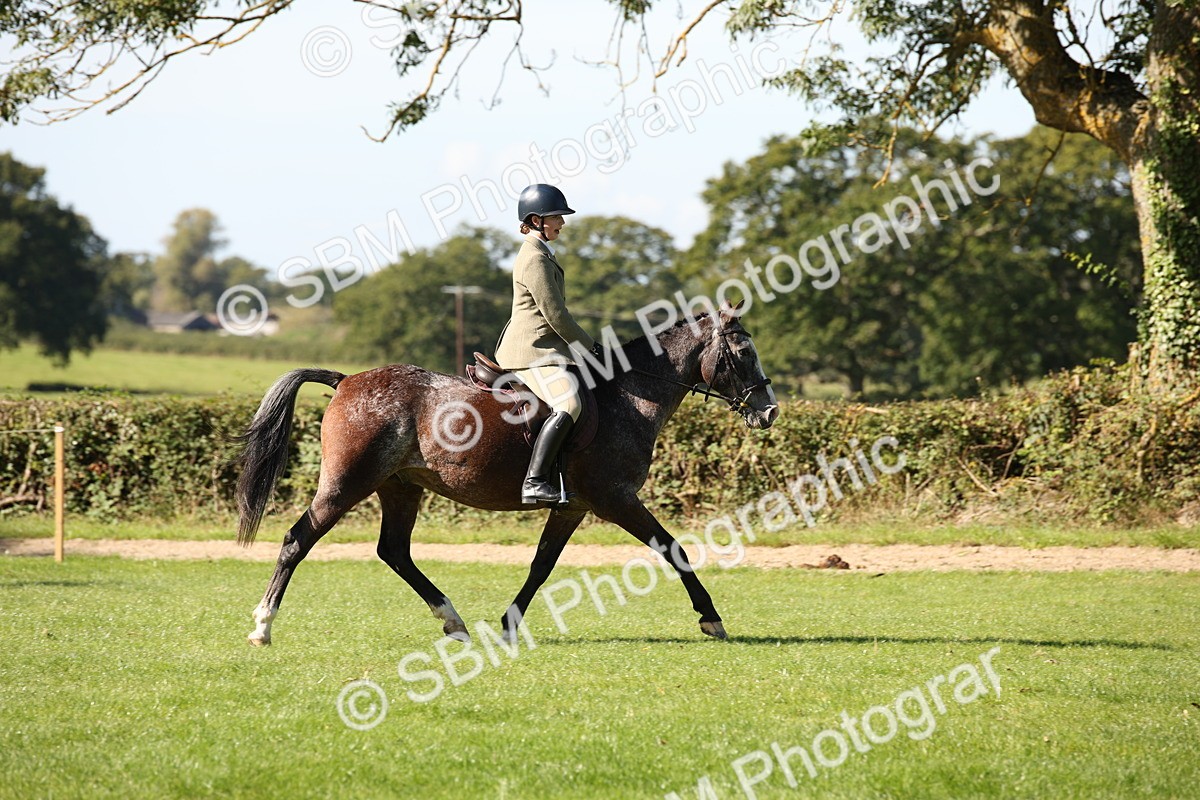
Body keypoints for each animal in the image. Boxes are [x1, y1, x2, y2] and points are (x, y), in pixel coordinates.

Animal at [234, 300, 778, 646]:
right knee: (298, 540)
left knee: (394, 552)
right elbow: (674, 549)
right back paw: (262, 626)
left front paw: (509, 624)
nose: (770, 411)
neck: (629, 396)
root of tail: (347, 380)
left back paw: (453, 622)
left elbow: (541, 565)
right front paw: (711, 620)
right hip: (347, 483)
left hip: (400, 487)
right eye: (743, 353)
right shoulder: (616, 498)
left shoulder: (575, 507)